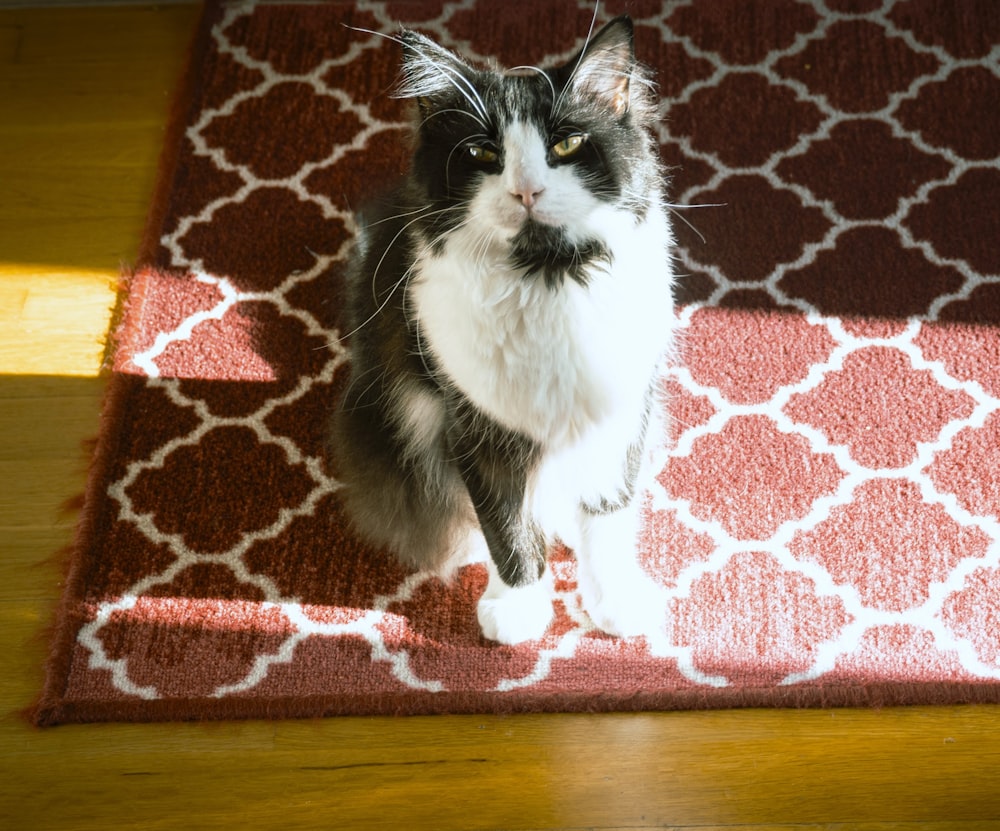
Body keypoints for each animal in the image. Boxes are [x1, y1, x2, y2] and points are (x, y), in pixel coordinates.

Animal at [332, 16, 676, 648]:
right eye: (482, 152)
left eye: (566, 145)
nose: (526, 191)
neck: (547, 276)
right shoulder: (476, 428)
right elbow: (506, 528)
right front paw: (517, 610)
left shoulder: (621, 420)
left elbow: (608, 516)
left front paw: (615, 603)